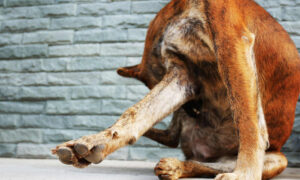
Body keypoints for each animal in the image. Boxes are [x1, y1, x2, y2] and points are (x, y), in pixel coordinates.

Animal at [52, 0, 300, 179]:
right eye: (192, 95)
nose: (195, 112)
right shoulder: (182, 75)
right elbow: (136, 113)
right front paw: (96, 141)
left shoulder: (231, 43)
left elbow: (246, 118)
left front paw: (245, 173)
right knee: (190, 155)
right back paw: (173, 166)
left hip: (278, 159)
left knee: (207, 164)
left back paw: (179, 167)